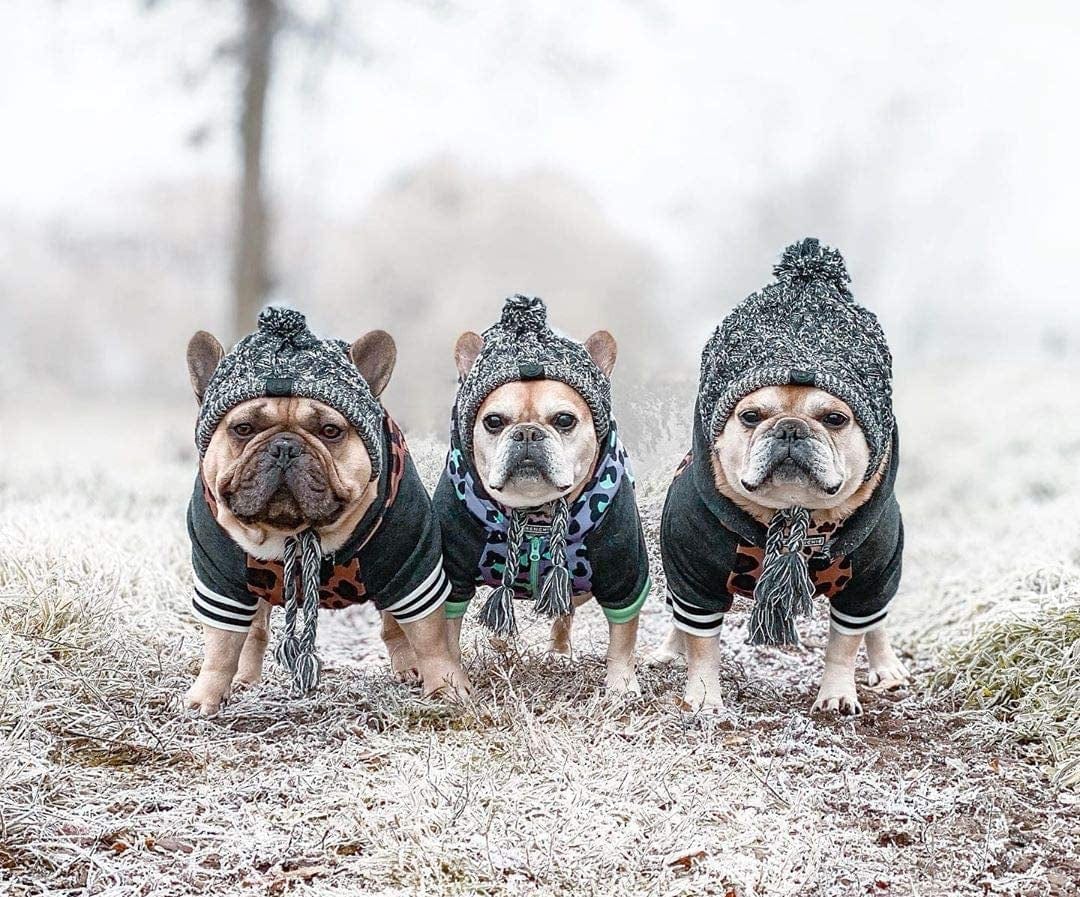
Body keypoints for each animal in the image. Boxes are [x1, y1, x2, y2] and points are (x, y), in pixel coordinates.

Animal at [652, 238, 907, 716]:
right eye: (751, 416)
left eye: (835, 418)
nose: (790, 428)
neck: (791, 515)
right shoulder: (693, 576)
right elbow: (702, 641)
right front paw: (704, 696)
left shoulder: (868, 580)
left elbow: (845, 644)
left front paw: (837, 695)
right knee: (681, 620)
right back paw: (668, 651)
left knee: (877, 622)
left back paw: (887, 668)